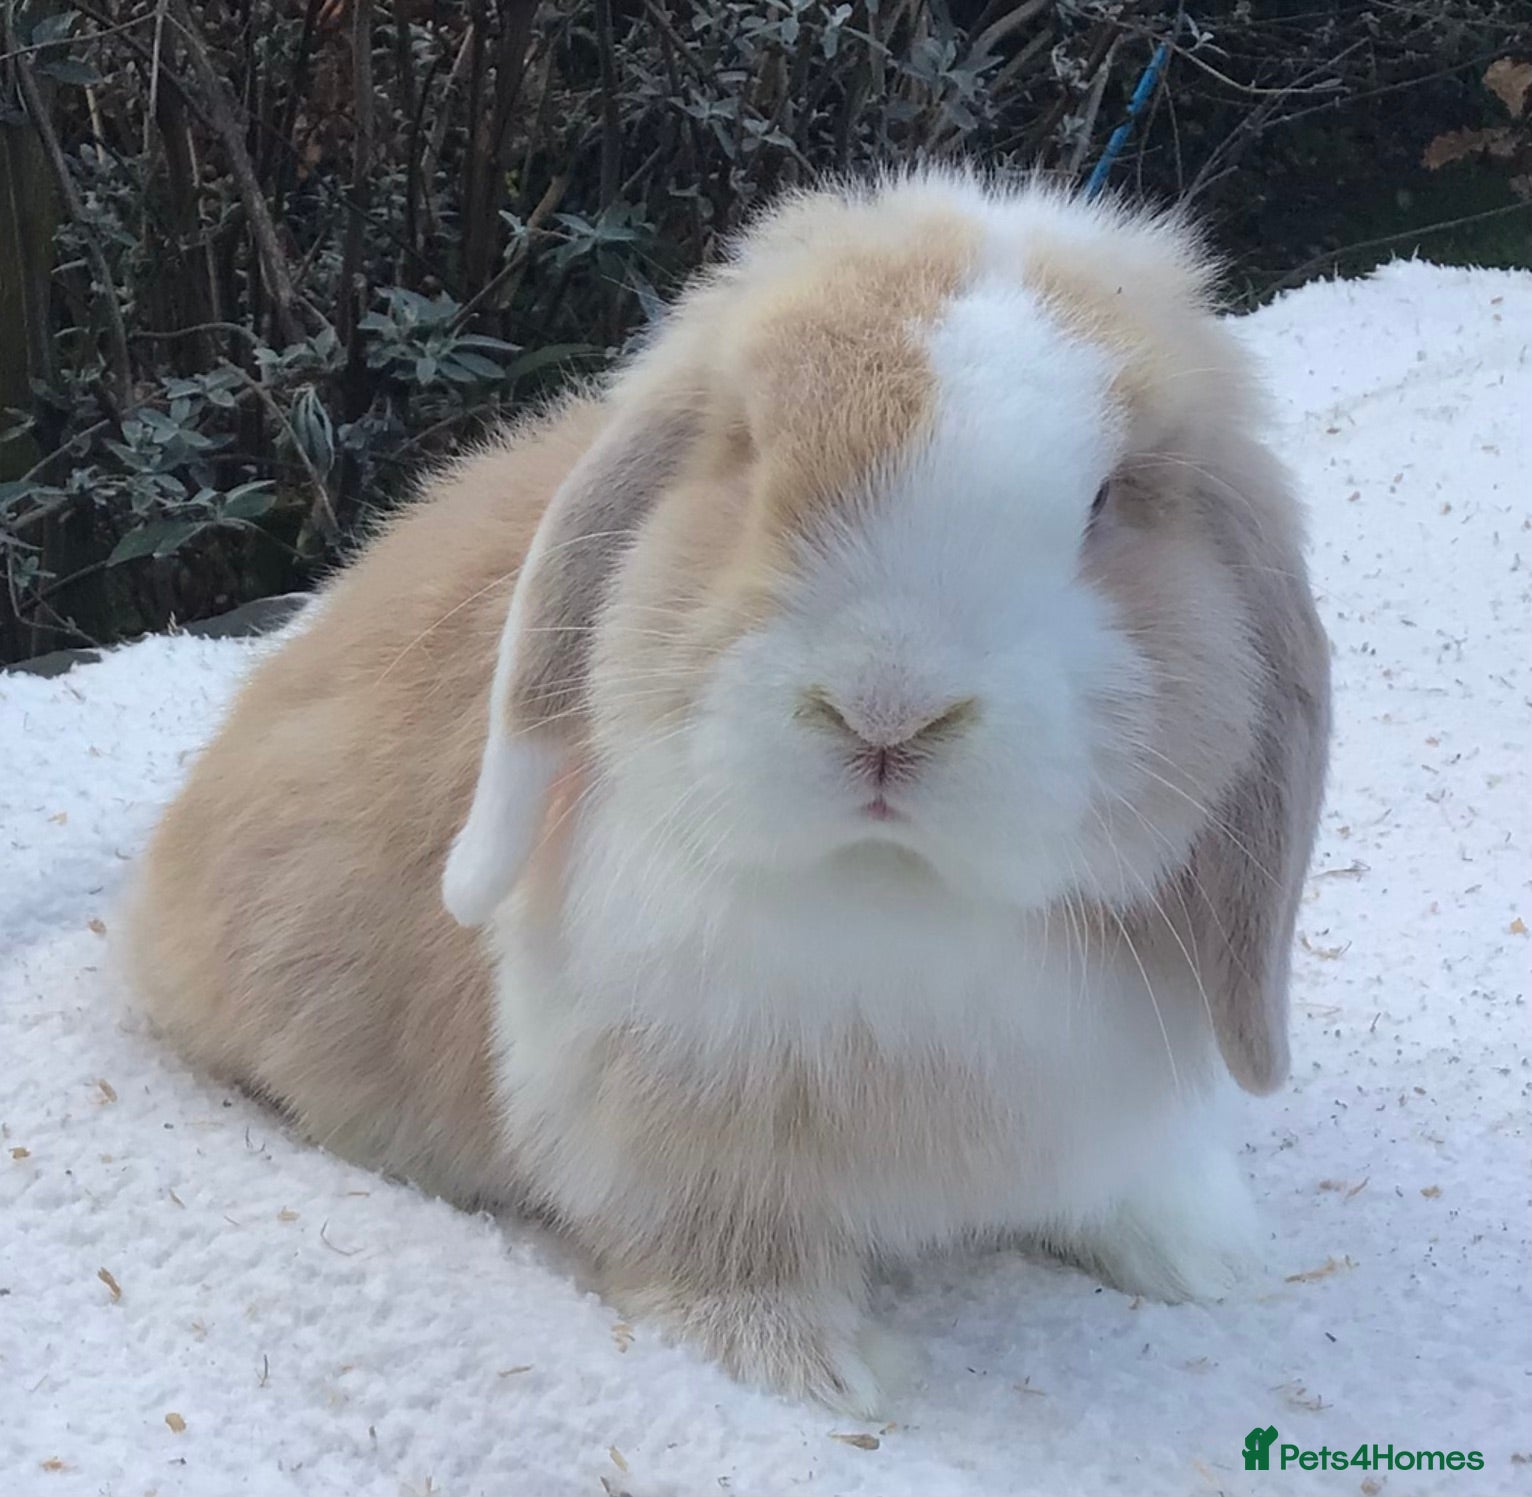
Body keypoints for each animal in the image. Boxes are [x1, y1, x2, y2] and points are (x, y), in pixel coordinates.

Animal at [126, 168, 1331, 1415]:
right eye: (749, 450)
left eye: (1106, 501)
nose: (884, 707)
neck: (892, 898)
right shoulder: (682, 1124)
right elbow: (728, 1243)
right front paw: (815, 1372)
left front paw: (1201, 1257)